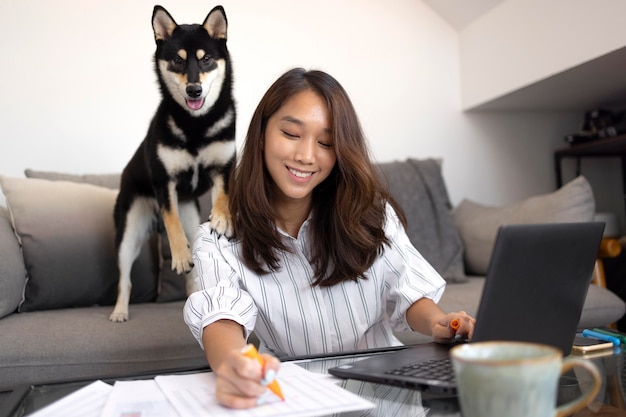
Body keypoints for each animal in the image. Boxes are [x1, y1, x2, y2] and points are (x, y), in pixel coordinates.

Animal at [108, 4, 235, 320]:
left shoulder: (223, 168)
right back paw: (119, 311)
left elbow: (223, 196)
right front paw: (178, 256)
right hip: (129, 232)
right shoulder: (164, 180)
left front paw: (222, 219)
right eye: (177, 60)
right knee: (125, 278)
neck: (195, 125)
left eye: (207, 60)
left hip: (191, 218)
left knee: (194, 271)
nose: (194, 90)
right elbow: (171, 220)